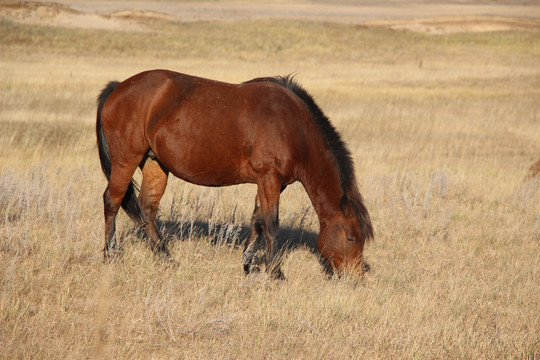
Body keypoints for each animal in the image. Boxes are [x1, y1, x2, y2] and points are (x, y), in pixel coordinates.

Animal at [95, 69, 374, 278]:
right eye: (351, 238)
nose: (356, 279)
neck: (293, 127)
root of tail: (119, 87)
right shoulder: (269, 178)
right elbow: (271, 224)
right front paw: (276, 273)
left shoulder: (270, 182)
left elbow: (258, 221)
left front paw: (249, 264)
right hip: (126, 160)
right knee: (112, 200)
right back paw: (110, 255)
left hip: (155, 164)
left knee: (147, 209)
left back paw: (165, 258)